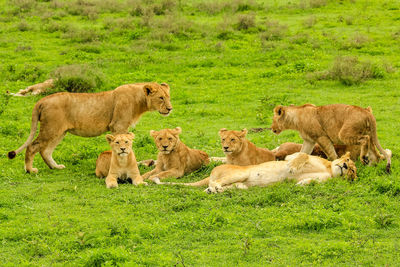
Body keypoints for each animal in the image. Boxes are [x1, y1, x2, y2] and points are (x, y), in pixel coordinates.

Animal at [7, 82, 171, 174]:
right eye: (161, 98)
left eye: (168, 97)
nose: (170, 109)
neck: (139, 100)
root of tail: (41, 100)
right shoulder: (118, 126)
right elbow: (122, 148)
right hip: (51, 129)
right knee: (33, 147)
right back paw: (30, 170)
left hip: (59, 132)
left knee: (46, 151)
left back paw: (56, 167)